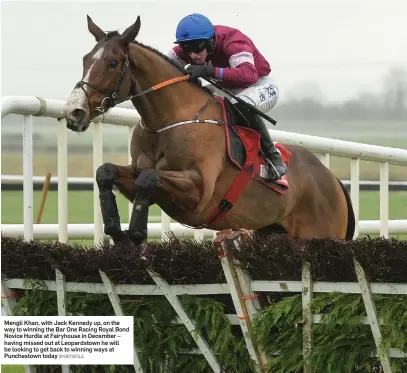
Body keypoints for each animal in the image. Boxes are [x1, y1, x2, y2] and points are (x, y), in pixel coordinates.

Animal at [62, 16, 356, 246]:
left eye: (113, 63)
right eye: (86, 59)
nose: (74, 112)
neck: (168, 121)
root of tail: (333, 180)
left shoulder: (199, 193)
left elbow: (148, 177)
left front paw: (135, 232)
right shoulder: (139, 181)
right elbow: (106, 172)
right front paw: (114, 227)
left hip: (320, 234)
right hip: (272, 232)